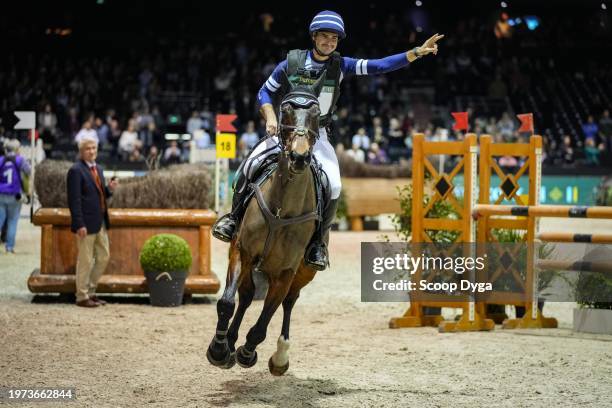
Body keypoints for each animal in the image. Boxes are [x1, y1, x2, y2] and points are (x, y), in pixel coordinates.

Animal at [207, 74, 326, 376]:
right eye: (285, 109)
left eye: (316, 112)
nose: (299, 157)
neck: (282, 208)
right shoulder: (242, 251)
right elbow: (227, 302)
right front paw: (219, 349)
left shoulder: (285, 272)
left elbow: (263, 324)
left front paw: (247, 352)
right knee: (247, 296)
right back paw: (229, 342)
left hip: (304, 272)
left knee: (289, 302)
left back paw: (280, 356)